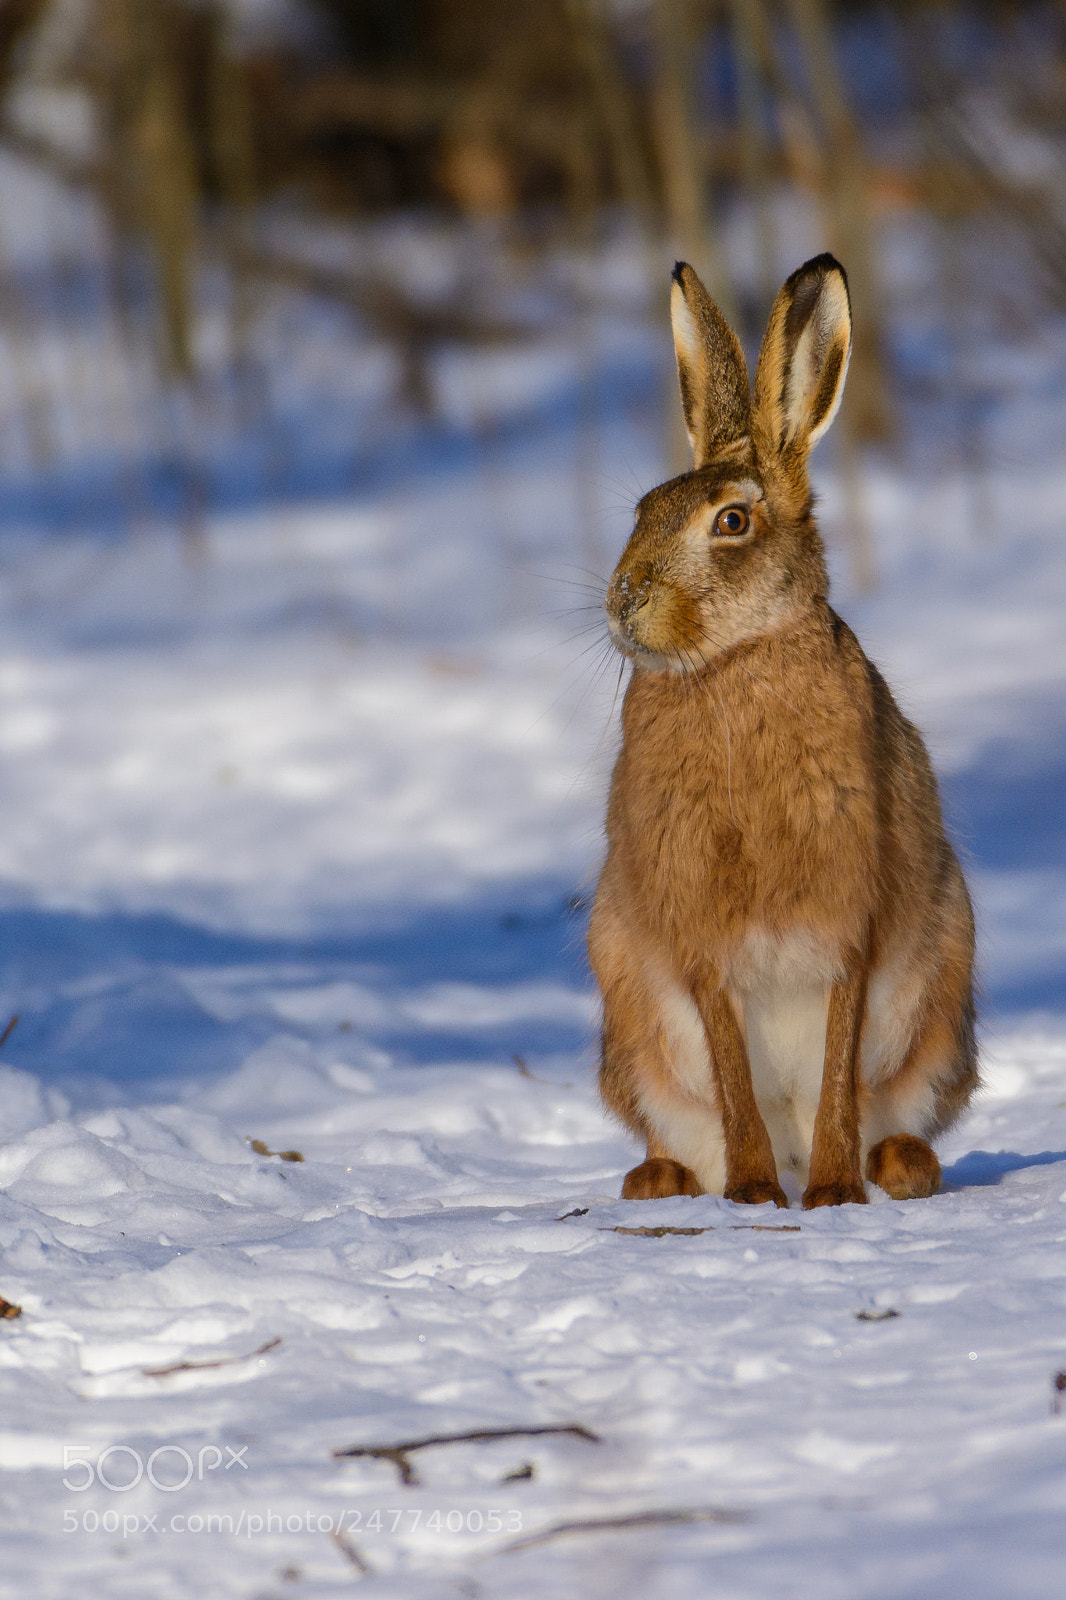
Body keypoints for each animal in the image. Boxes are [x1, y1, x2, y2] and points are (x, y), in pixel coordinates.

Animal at [588, 253, 977, 1209]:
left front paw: (832, 1198)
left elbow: (839, 1051)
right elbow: (729, 1060)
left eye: (731, 521)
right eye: (644, 509)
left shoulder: (850, 920)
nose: (624, 598)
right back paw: (665, 1181)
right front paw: (758, 1198)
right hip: (628, 1014)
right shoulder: (698, 936)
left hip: (942, 998)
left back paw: (890, 1168)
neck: (734, 660)